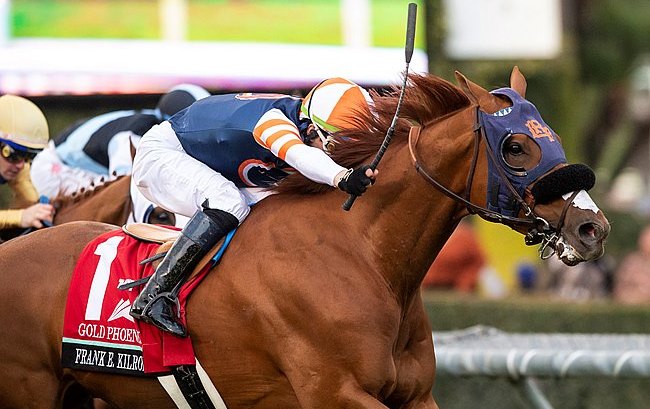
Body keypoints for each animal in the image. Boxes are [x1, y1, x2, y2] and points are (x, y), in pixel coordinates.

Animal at [0, 68, 608, 406]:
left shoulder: (415, 396)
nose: (593, 228)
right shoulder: (335, 392)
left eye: (551, 136)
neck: (365, 253)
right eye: (516, 147)